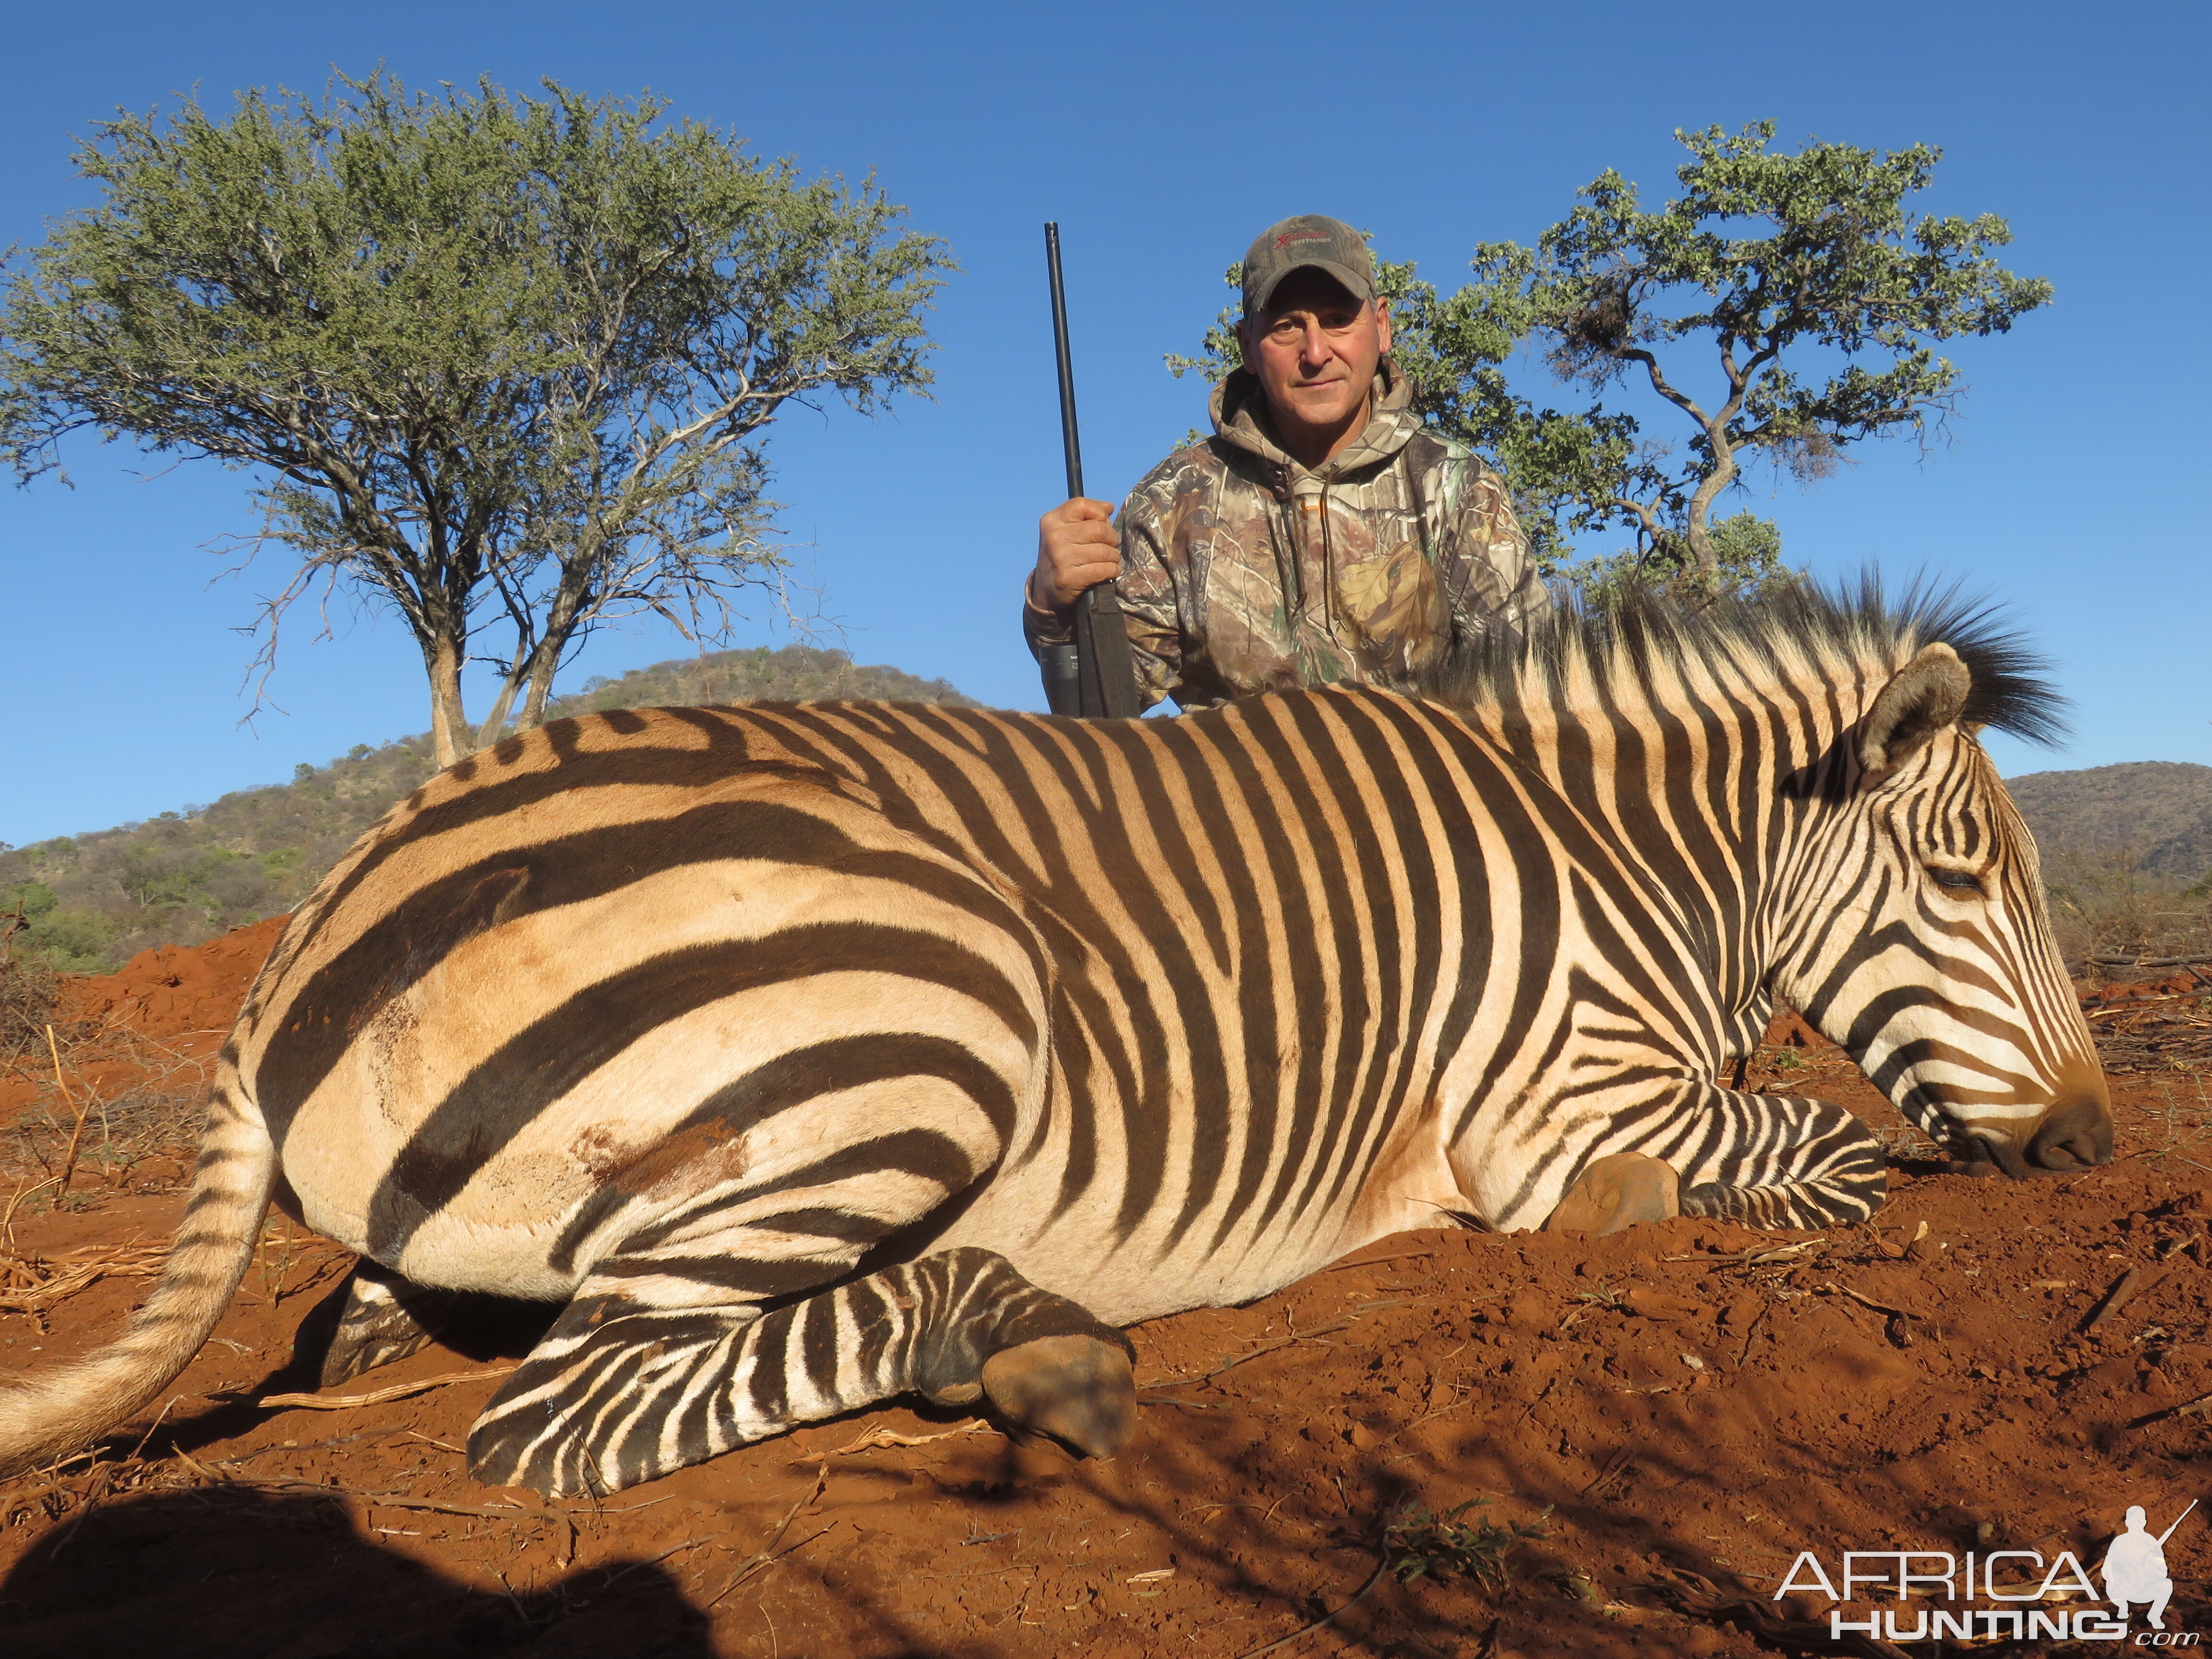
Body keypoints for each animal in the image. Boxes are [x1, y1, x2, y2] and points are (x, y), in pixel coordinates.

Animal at [0, 584, 2105, 1495]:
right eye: (1960, 870)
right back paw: (1026, 1345)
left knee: (415, 1325)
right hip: (927, 1021)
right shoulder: (1548, 1100)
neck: (1613, 858)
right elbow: (1816, 1147)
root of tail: (312, 921)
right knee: (559, 1419)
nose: (2093, 1146)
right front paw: (1627, 1217)